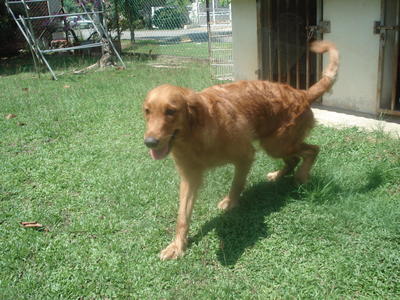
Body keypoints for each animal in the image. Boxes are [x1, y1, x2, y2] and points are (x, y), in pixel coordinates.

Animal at [143, 40, 338, 260]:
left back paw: (302, 176)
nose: (150, 142)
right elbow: (182, 216)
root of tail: (301, 93)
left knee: (312, 150)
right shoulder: (190, 176)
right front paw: (177, 246)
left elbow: (236, 184)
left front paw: (230, 203)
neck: (195, 135)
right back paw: (278, 175)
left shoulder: (245, 155)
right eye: (147, 111)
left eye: (171, 111)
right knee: (294, 159)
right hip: (275, 144)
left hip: (277, 144)